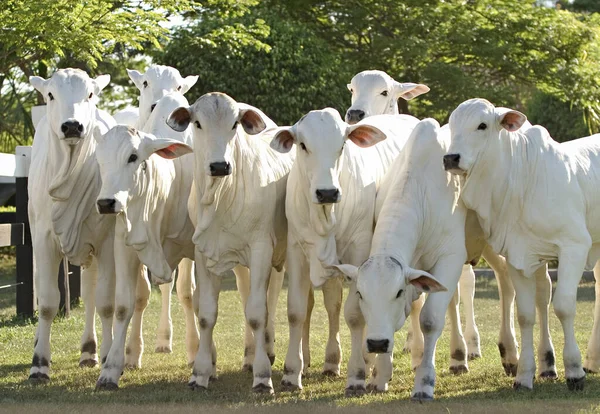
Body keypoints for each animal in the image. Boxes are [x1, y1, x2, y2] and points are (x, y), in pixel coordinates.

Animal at [27, 68, 116, 382]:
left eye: (89, 94)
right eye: (51, 94)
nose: (72, 126)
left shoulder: (106, 242)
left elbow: (105, 302)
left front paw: (108, 356)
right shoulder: (43, 240)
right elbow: (48, 302)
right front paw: (39, 364)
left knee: (90, 296)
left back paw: (90, 350)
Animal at [168, 92, 292, 392]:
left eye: (235, 124)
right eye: (197, 123)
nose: (219, 166)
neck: (221, 196)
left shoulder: (261, 249)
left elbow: (258, 312)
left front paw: (263, 376)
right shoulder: (203, 252)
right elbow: (206, 314)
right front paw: (200, 373)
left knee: (269, 299)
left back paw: (267, 351)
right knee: (247, 293)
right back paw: (250, 354)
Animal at [442, 98, 600, 392]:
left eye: (482, 125)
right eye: (452, 125)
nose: (450, 158)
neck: (522, 181)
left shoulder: (574, 246)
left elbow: (563, 306)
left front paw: (574, 372)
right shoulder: (518, 255)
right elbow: (526, 314)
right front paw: (524, 376)